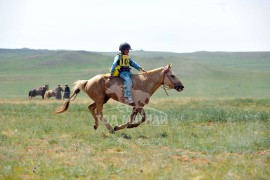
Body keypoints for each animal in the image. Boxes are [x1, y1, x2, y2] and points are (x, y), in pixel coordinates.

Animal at [56, 64, 185, 134]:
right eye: (172, 75)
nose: (181, 86)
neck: (145, 82)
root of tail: (88, 81)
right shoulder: (138, 105)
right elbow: (140, 119)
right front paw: (119, 127)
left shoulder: (137, 106)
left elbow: (135, 119)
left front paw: (123, 126)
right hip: (100, 100)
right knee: (99, 113)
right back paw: (110, 129)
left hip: (102, 99)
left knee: (90, 108)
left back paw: (96, 126)